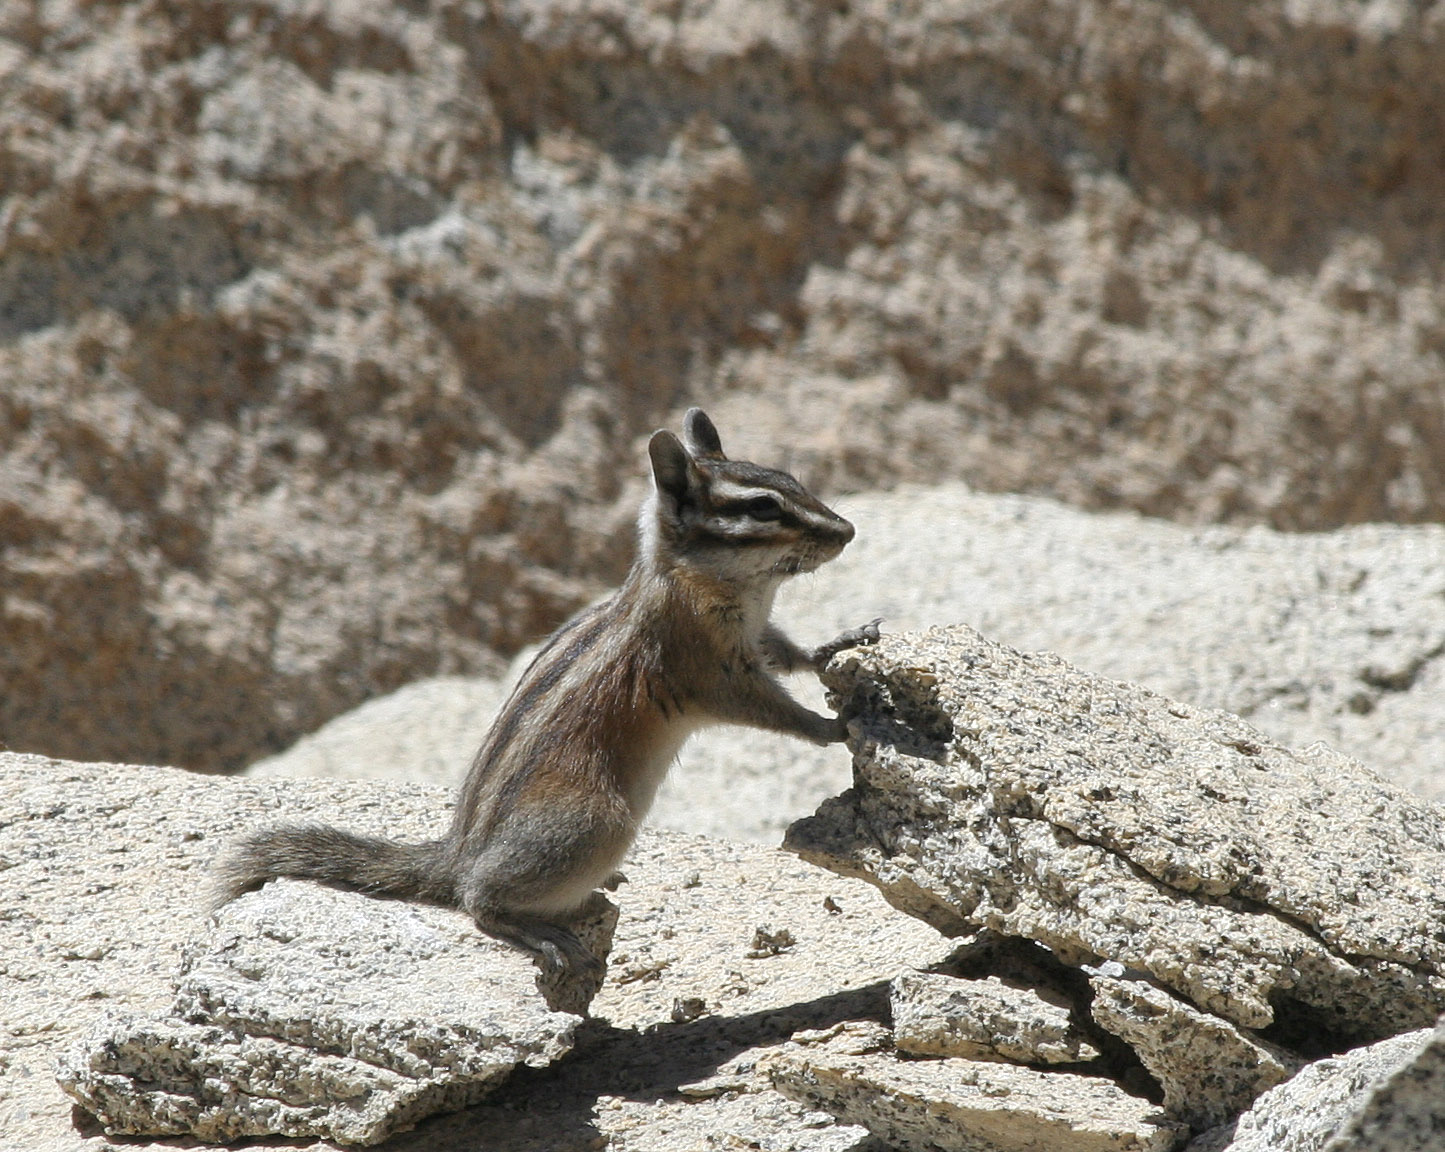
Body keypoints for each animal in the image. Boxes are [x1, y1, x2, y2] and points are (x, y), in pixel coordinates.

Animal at [212, 408, 880, 976]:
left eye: (790, 480)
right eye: (763, 508)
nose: (848, 530)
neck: (729, 587)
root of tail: (458, 851)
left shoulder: (755, 633)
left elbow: (788, 650)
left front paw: (838, 643)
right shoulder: (706, 668)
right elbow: (768, 708)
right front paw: (833, 725)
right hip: (594, 822)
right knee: (477, 901)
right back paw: (539, 931)